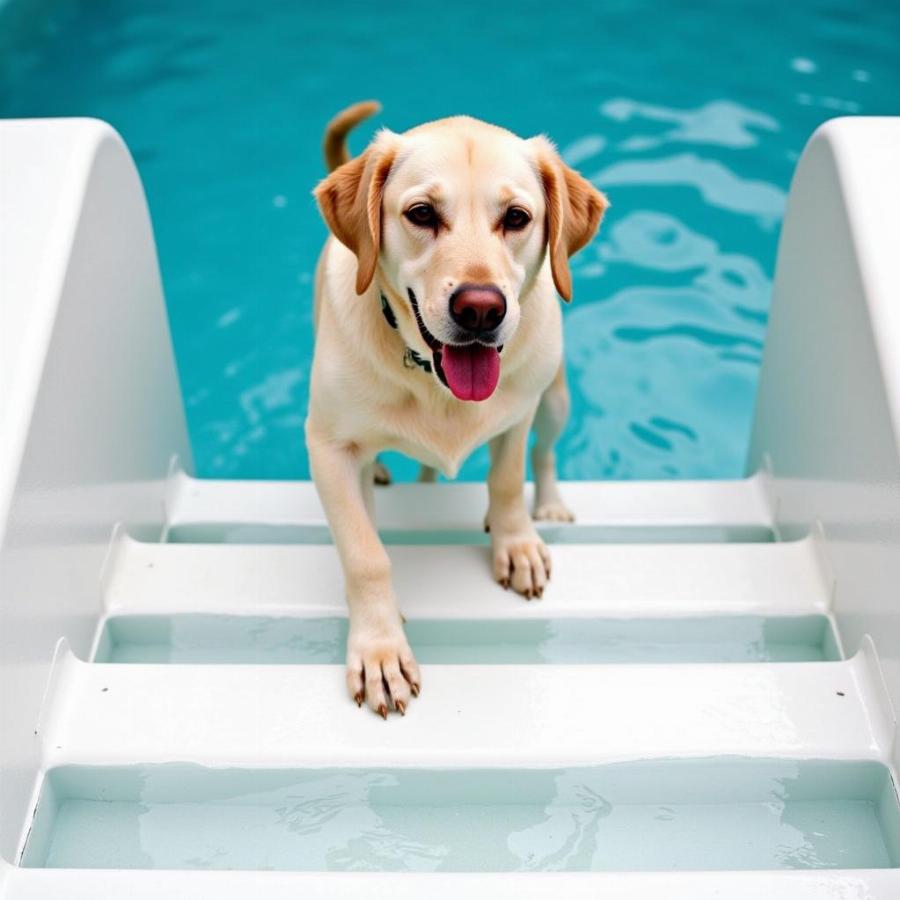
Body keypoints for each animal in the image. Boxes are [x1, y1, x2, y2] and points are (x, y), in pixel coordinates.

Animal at [310, 100, 604, 716]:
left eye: (516, 217)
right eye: (421, 213)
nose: (481, 309)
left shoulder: (519, 412)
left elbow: (508, 479)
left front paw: (515, 543)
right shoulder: (327, 446)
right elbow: (365, 553)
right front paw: (379, 650)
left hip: (555, 396)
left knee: (544, 455)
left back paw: (551, 506)